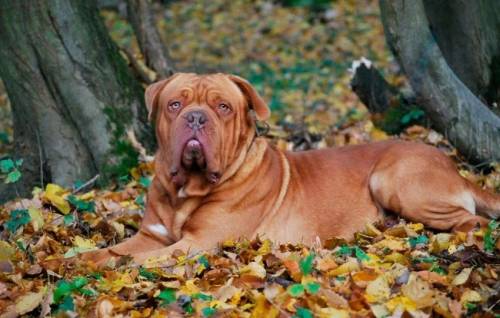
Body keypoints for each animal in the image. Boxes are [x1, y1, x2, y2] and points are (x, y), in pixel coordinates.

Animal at [83, 73, 500, 264]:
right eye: (174, 105)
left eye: (223, 107)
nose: (196, 117)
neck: (183, 191)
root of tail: (450, 164)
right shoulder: (150, 236)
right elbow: (114, 251)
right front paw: (76, 261)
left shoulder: (197, 243)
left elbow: (131, 260)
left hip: (393, 180)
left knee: (473, 220)